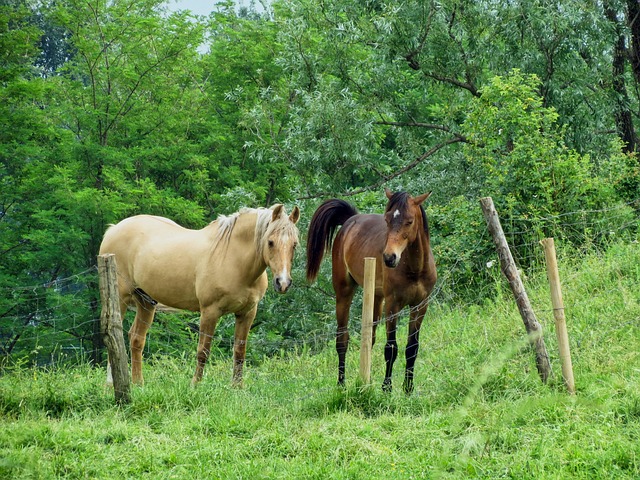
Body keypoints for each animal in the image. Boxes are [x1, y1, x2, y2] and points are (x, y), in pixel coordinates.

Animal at [99, 204, 300, 388]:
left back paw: (138, 383)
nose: (283, 282)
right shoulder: (210, 312)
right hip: (120, 298)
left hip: (146, 301)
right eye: (270, 242)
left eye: (294, 244)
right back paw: (111, 383)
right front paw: (195, 385)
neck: (233, 259)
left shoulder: (247, 313)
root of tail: (113, 229)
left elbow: (239, 351)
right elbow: (203, 351)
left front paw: (237, 387)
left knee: (136, 338)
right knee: (115, 335)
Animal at [304, 189, 436, 392]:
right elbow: (391, 347)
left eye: (409, 221)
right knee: (342, 340)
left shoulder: (420, 306)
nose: (389, 257)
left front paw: (408, 388)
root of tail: (351, 219)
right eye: (387, 219)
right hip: (344, 293)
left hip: (375, 298)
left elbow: (412, 348)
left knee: (369, 340)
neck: (415, 268)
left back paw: (366, 381)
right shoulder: (392, 305)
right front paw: (387, 388)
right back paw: (341, 383)